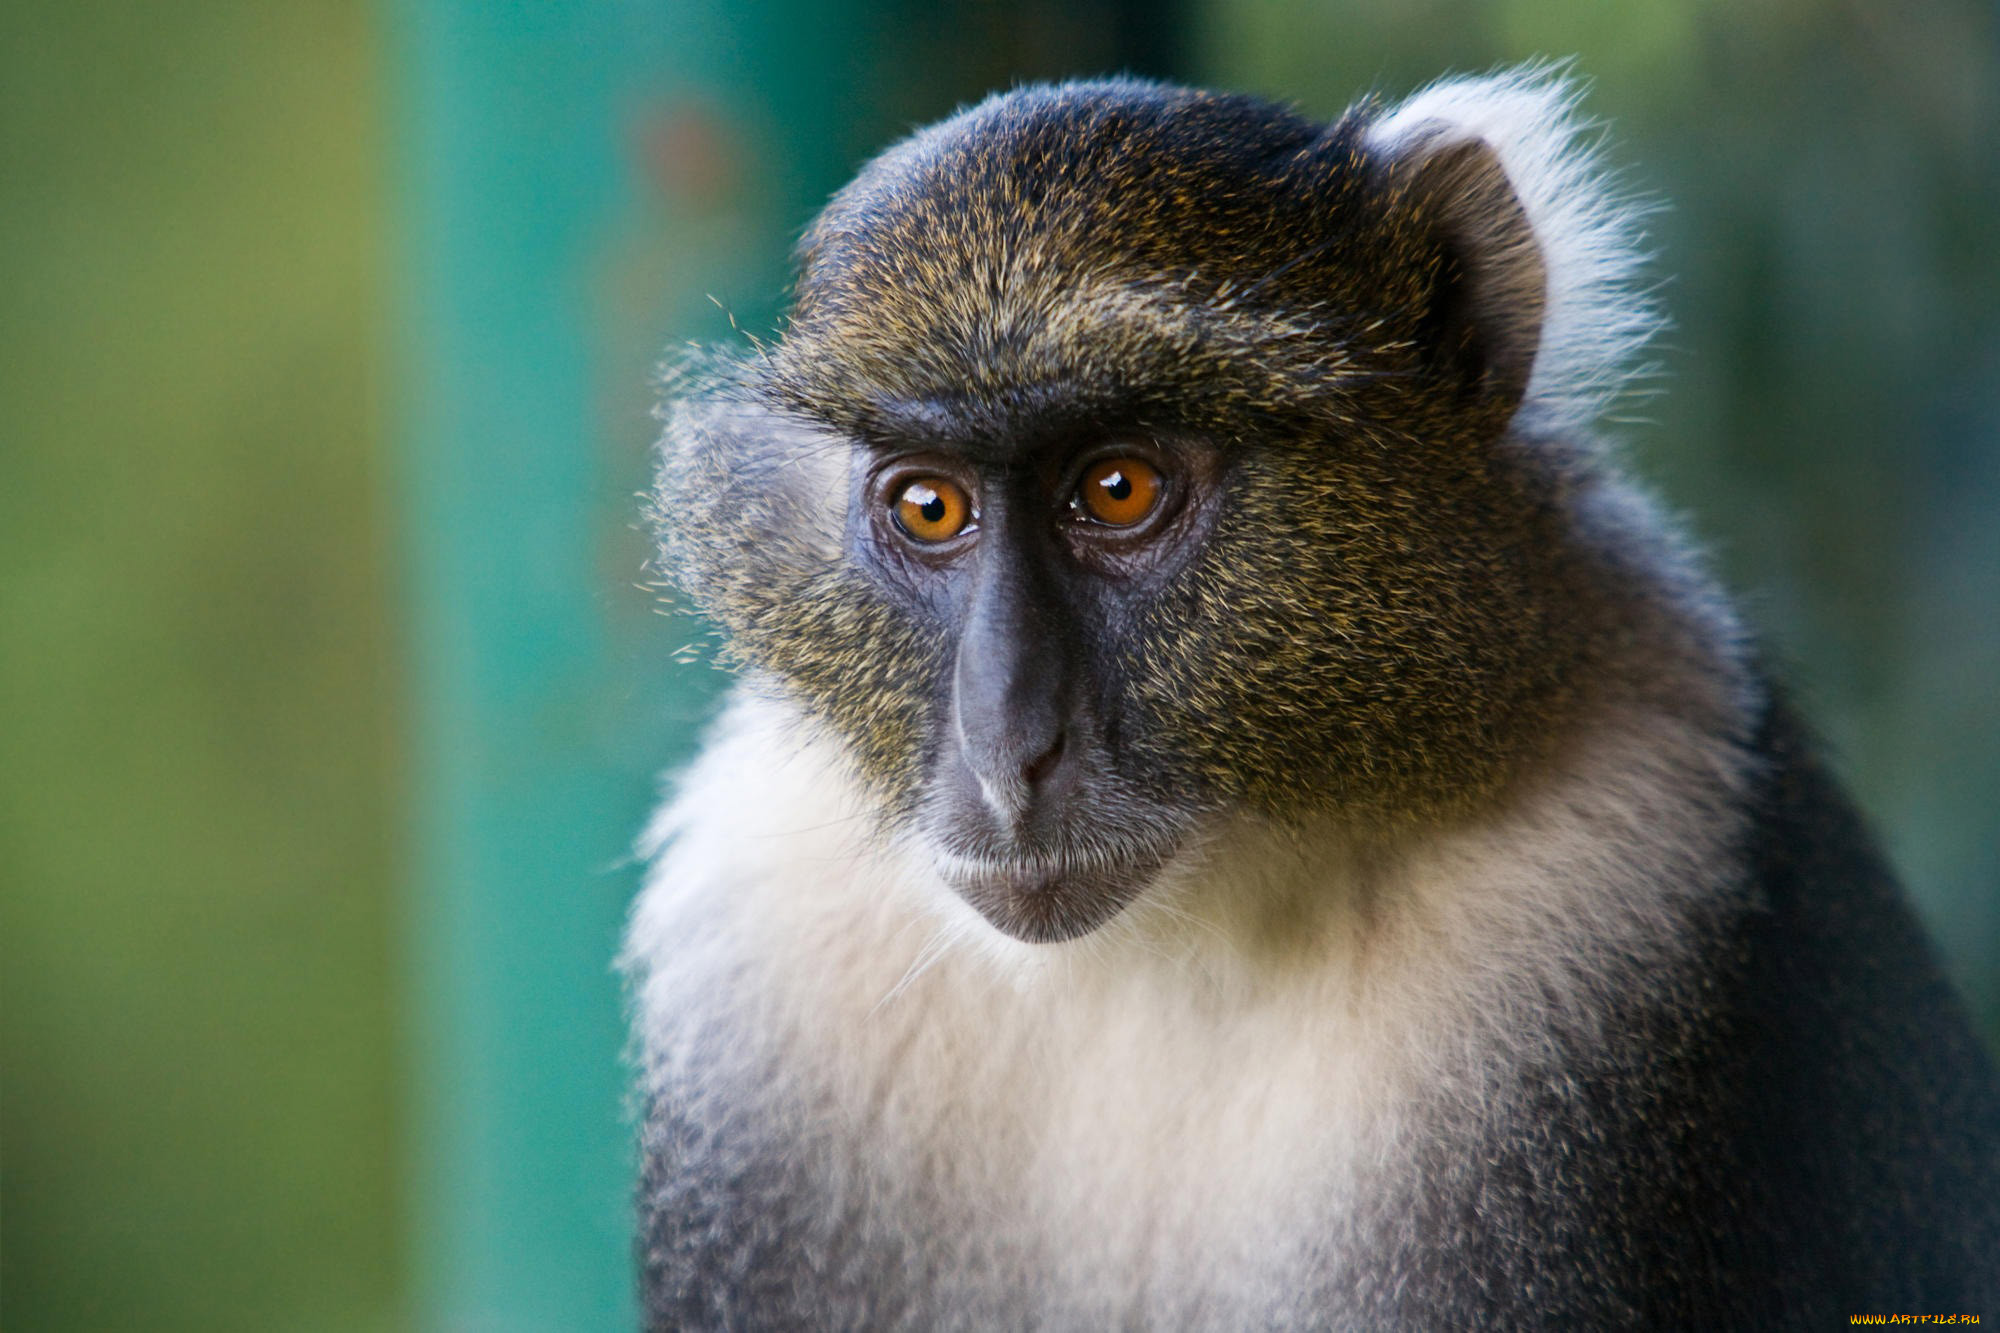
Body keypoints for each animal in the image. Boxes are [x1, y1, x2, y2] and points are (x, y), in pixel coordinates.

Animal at [624, 72, 2000, 1328]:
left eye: (1117, 487)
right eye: (927, 506)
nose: (1009, 749)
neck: (1169, 949)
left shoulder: (1619, 901)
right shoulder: (755, 951)